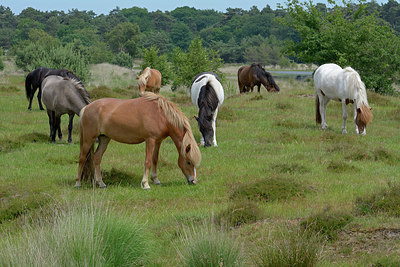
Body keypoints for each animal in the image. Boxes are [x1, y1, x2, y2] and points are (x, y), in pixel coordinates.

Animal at [74, 92, 202, 191]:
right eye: (188, 162)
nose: (193, 181)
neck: (160, 114)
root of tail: (86, 108)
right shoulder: (150, 140)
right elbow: (148, 161)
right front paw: (145, 184)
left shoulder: (158, 141)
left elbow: (155, 160)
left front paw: (155, 180)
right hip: (88, 139)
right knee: (82, 158)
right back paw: (77, 183)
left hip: (104, 138)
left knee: (97, 157)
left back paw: (101, 183)